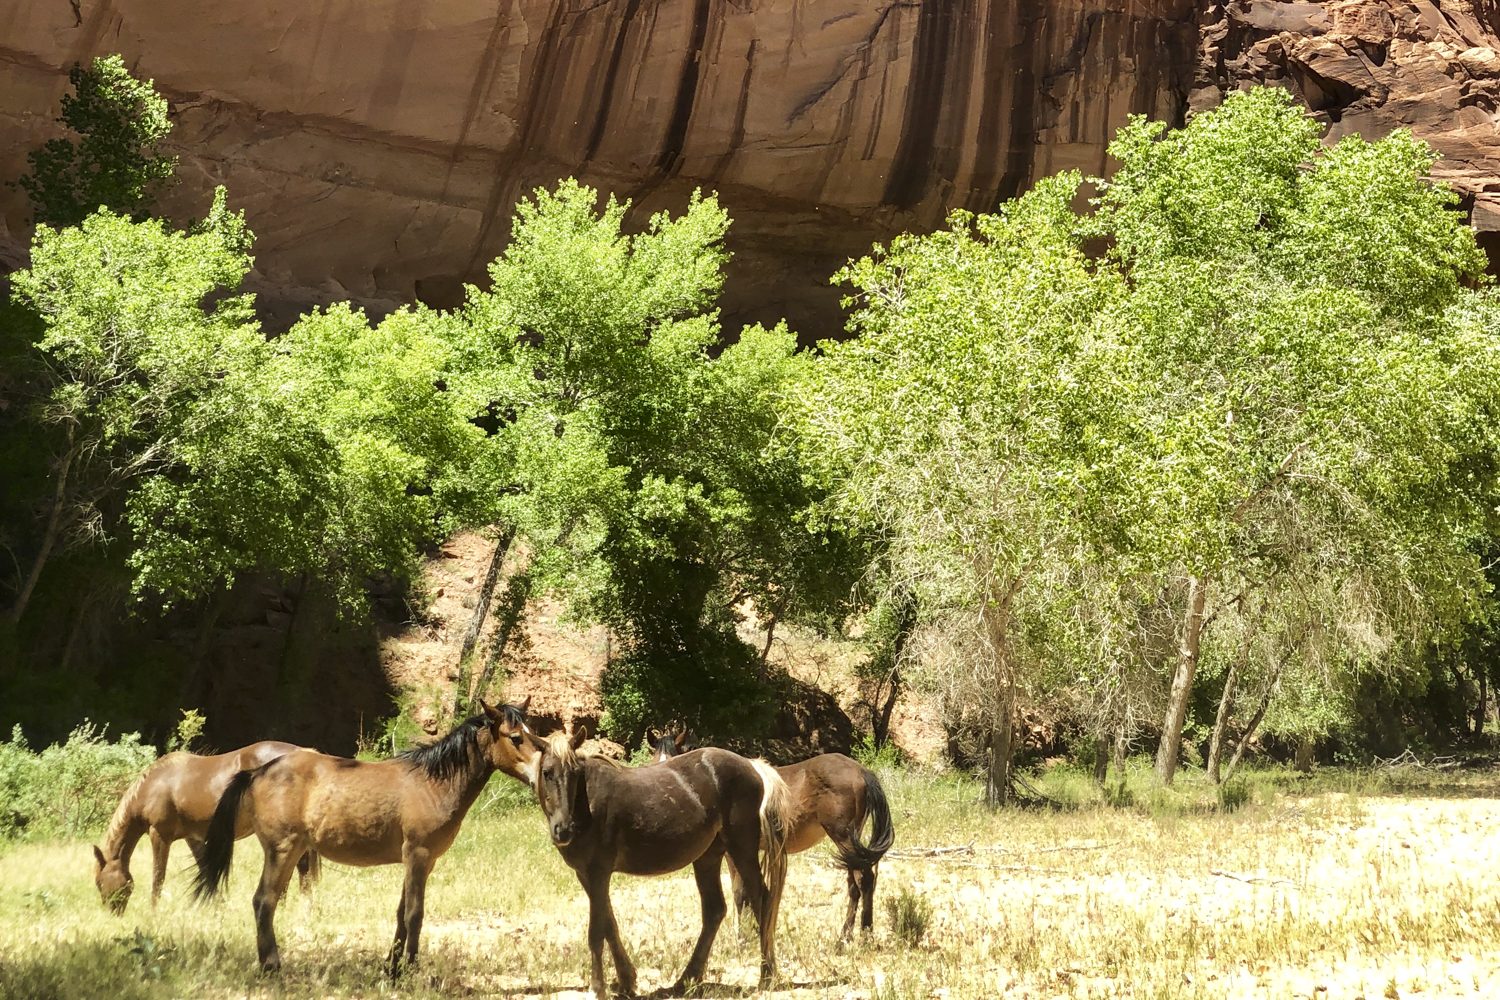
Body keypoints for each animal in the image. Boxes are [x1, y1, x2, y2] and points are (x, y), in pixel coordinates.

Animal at [91, 743, 322, 917]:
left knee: (299, 869)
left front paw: (153, 912)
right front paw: (218, 906)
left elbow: (158, 877)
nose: (113, 913)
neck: (154, 785)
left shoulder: (160, 836)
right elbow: (205, 869)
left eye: (99, 883)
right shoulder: (193, 837)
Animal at [192, 701, 534, 971]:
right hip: (281, 850)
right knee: (264, 901)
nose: (539, 772)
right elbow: (415, 914)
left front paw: (392, 967)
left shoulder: (420, 861)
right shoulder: (418, 855)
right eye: (515, 737)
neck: (431, 783)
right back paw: (272, 966)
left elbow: (401, 914)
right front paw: (410, 970)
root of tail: (257, 772)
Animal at [528, 722, 798, 995]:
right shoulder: (585, 874)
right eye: (547, 772)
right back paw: (687, 979)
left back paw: (767, 975)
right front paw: (626, 980)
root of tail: (753, 766)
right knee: (715, 910)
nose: (563, 830)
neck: (587, 803)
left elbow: (596, 932)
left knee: (762, 899)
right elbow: (609, 925)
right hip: (708, 857)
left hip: (742, 850)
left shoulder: (598, 872)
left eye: (574, 773)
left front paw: (598, 988)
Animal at [657, 740, 888, 941]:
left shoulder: (733, 852)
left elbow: (740, 892)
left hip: (843, 838)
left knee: (864, 881)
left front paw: (743, 937)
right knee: (857, 884)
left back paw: (860, 935)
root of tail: (860, 770)